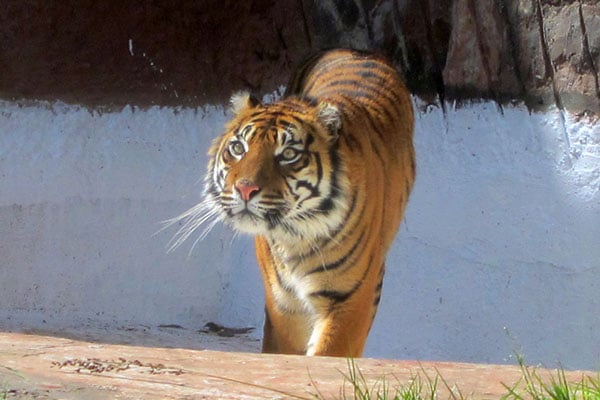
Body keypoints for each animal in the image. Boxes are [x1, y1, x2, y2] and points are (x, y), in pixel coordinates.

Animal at [171, 48, 414, 358]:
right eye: (238, 148)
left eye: (288, 154)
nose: (245, 188)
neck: (296, 236)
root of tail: (355, 50)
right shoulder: (284, 304)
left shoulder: (349, 297)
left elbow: (328, 354)